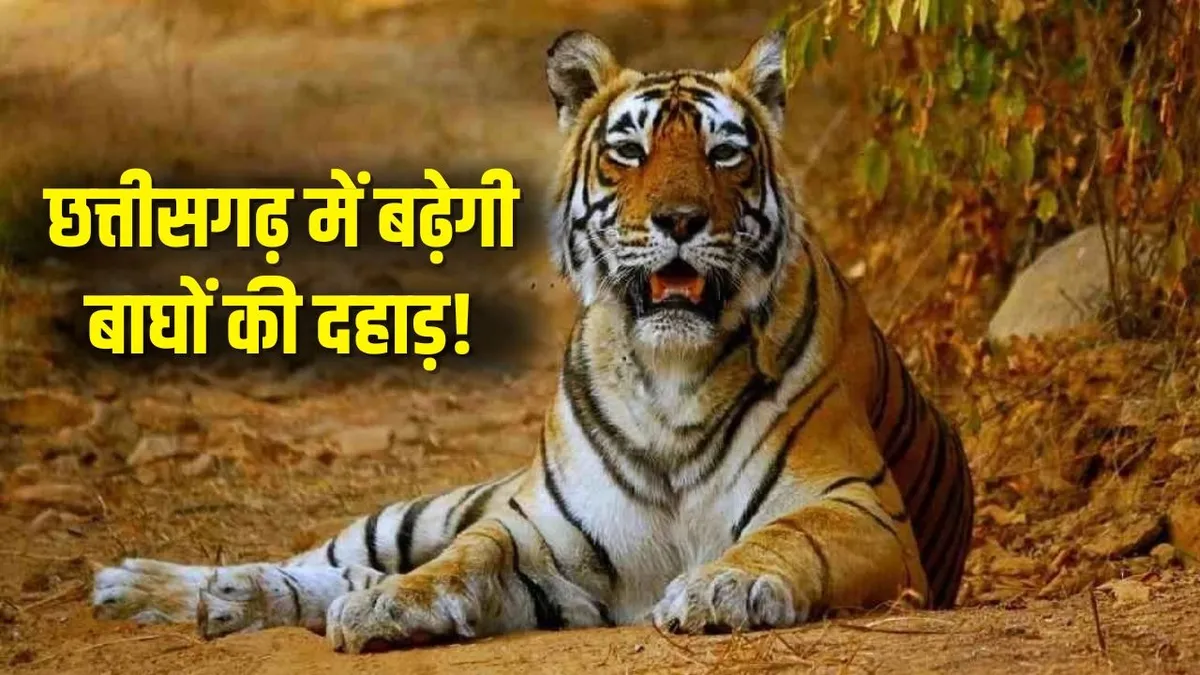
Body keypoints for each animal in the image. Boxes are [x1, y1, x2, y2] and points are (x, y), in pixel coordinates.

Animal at [90, 30, 975, 653]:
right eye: (629, 151)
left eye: (726, 153)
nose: (680, 220)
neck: (670, 374)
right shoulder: (537, 528)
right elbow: (465, 557)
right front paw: (390, 603)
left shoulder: (859, 505)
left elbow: (786, 537)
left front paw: (718, 588)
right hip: (421, 508)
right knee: (332, 553)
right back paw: (153, 587)